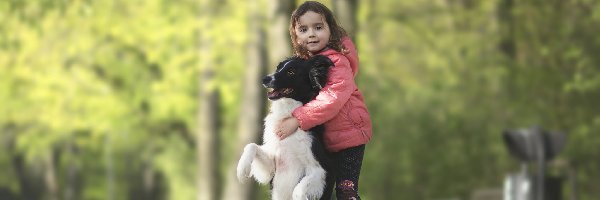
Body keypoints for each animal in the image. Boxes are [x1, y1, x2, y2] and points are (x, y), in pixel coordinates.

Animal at [237, 55, 336, 200]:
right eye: (278, 68)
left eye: (291, 72)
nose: (264, 79)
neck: (288, 114)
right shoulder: (271, 168)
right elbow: (251, 145)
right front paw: (242, 168)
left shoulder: (322, 169)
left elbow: (298, 190)